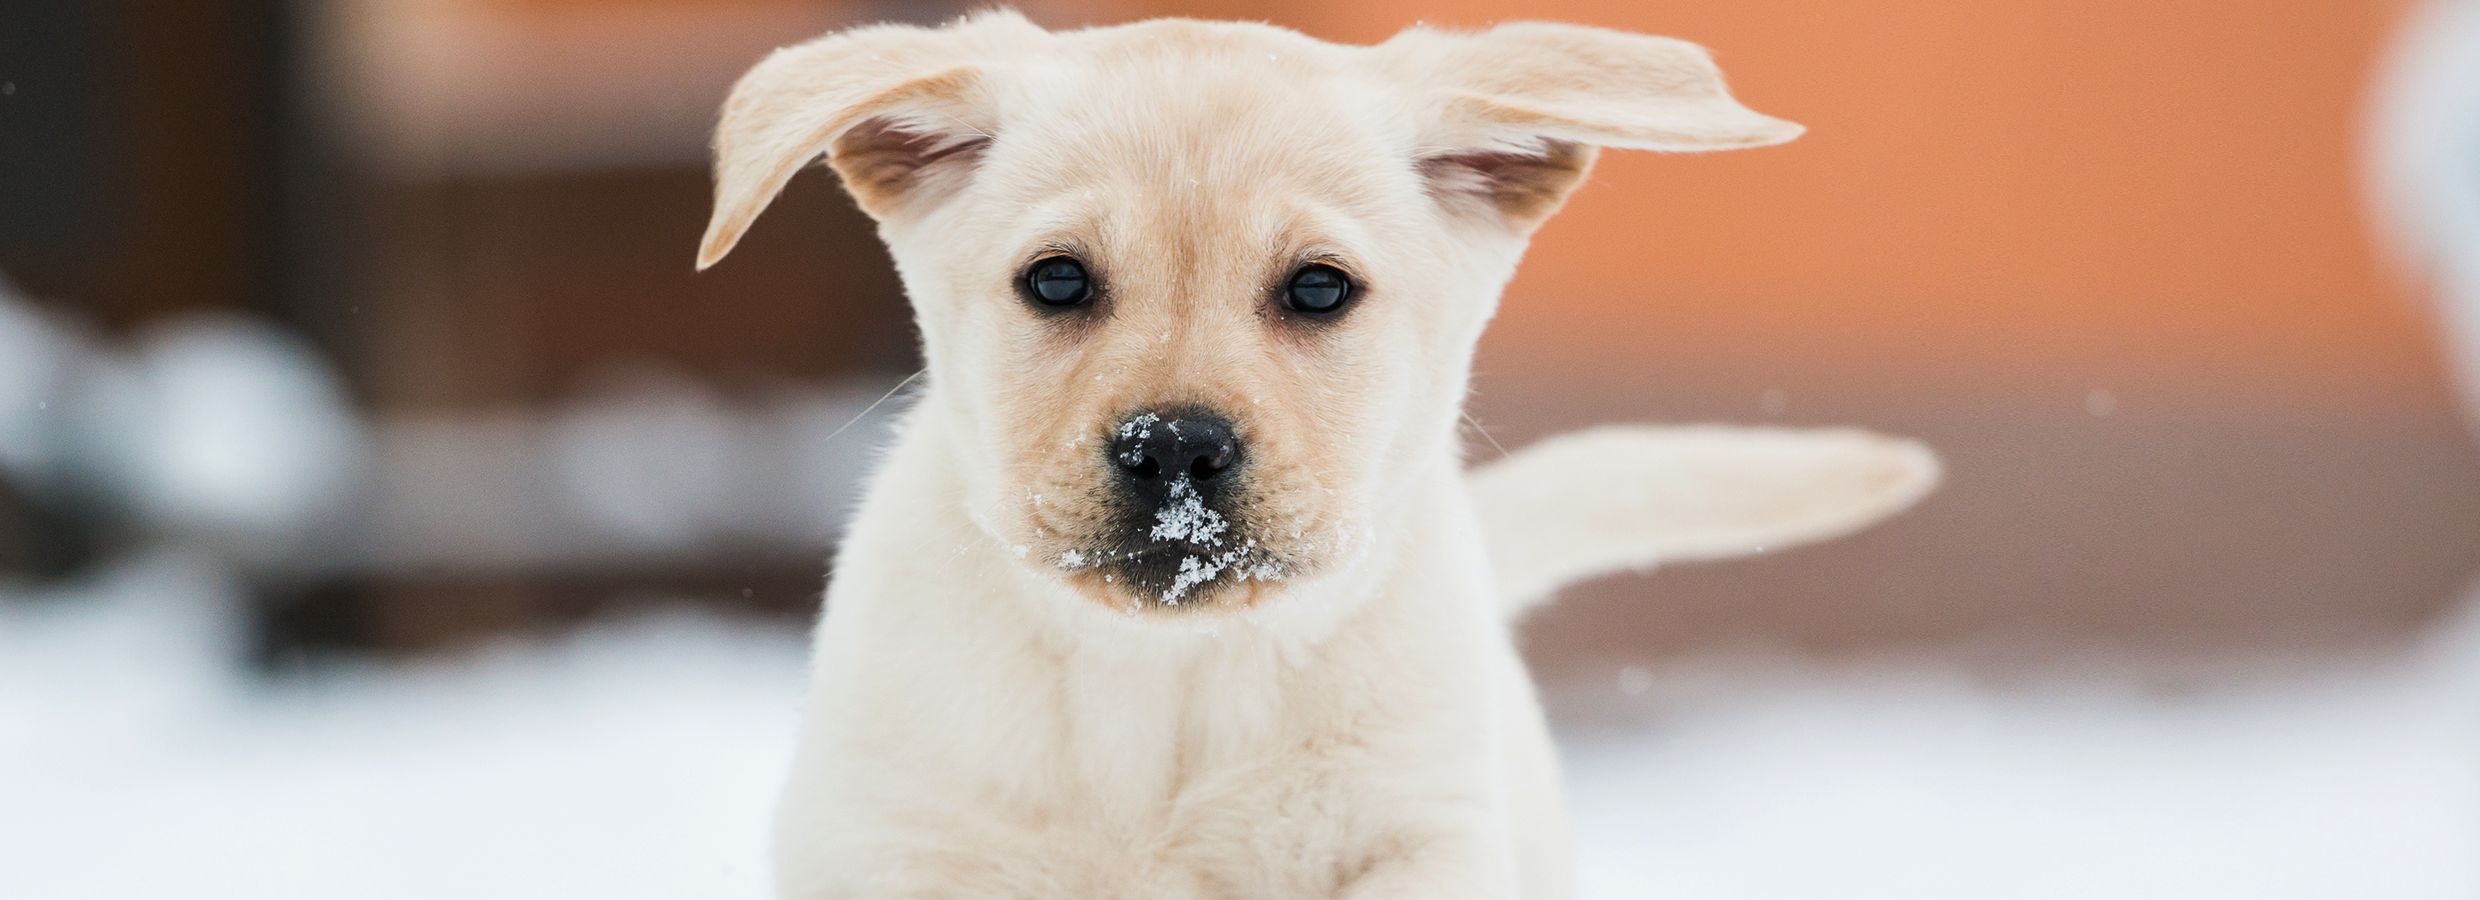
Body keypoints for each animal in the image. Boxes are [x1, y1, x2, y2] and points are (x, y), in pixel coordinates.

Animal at [694, 10, 1934, 897]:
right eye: (1054, 279)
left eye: (1318, 289)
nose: (1174, 447)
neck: (1166, 687)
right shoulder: (904, 848)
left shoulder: (1413, 841)